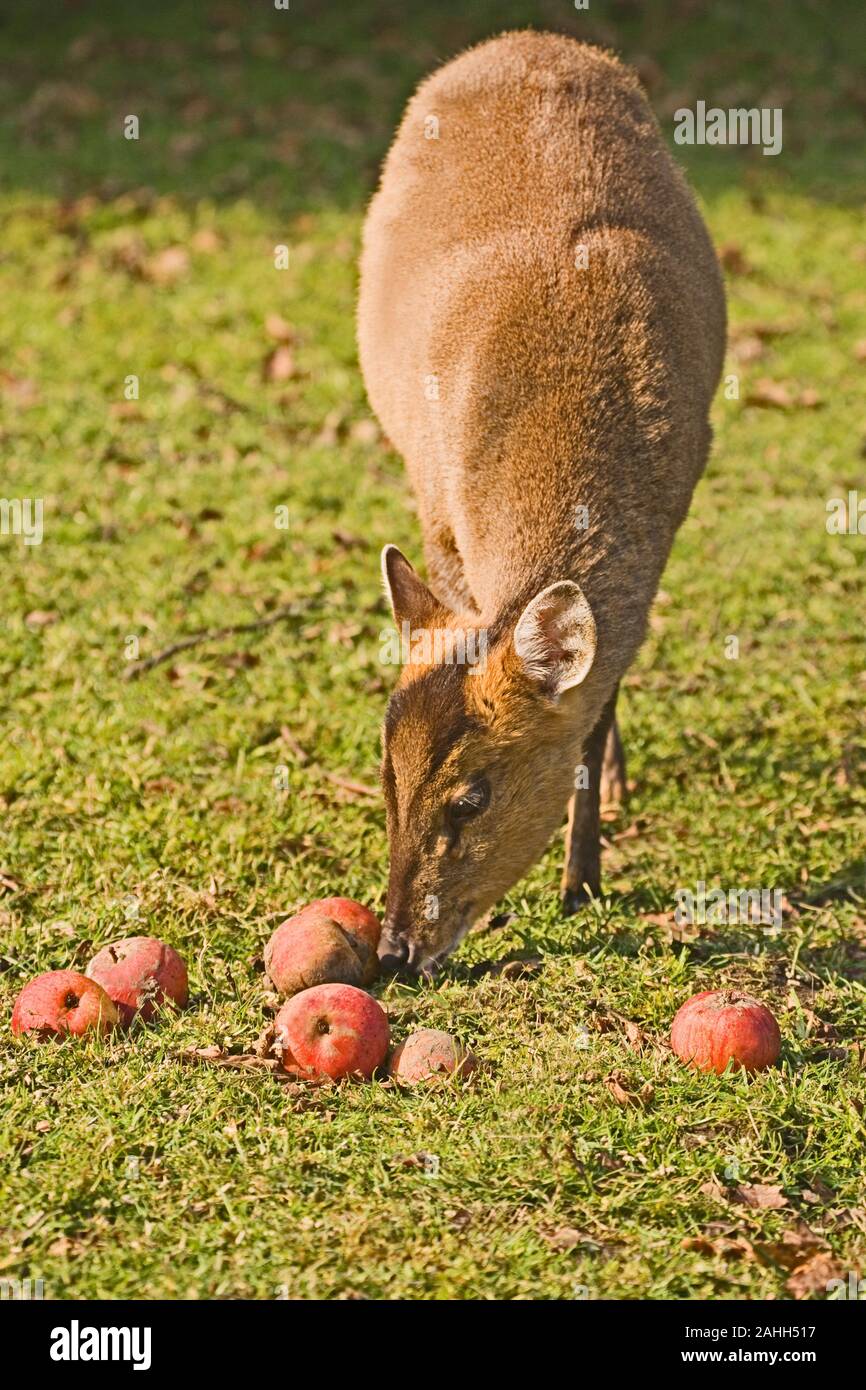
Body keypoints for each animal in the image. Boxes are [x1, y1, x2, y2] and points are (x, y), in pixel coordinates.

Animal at [357, 31, 726, 976]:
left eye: (472, 797)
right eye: (386, 776)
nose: (396, 949)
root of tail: (520, 39)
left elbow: (597, 702)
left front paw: (582, 879)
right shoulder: (438, 503)